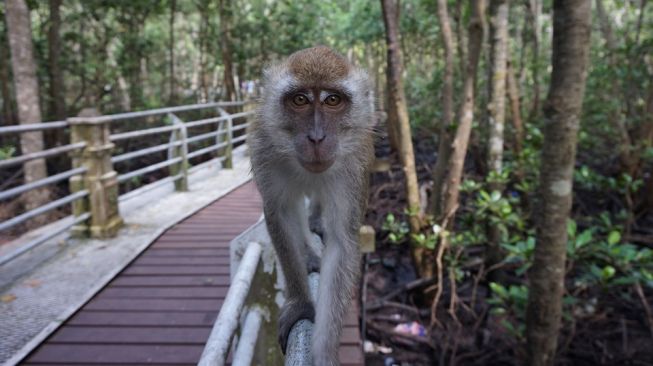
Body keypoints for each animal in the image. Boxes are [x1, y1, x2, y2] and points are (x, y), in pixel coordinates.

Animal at [248, 46, 374, 366]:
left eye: (332, 100)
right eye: (300, 100)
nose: (317, 137)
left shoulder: (354, 167)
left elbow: (342, 242)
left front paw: (324, 353)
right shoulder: (264, 150)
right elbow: (279, 213)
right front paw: (301, 304)